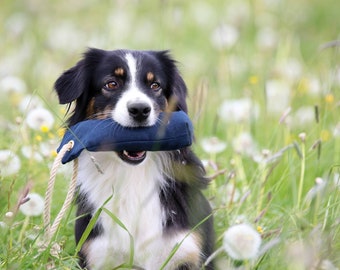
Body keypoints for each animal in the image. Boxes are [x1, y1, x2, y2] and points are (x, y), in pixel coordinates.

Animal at [55, 49, 215, 270]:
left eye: (155, 85)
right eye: (111, 84)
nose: (140, 110)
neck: (134, 175)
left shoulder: (189, 250)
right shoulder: (97, 253)